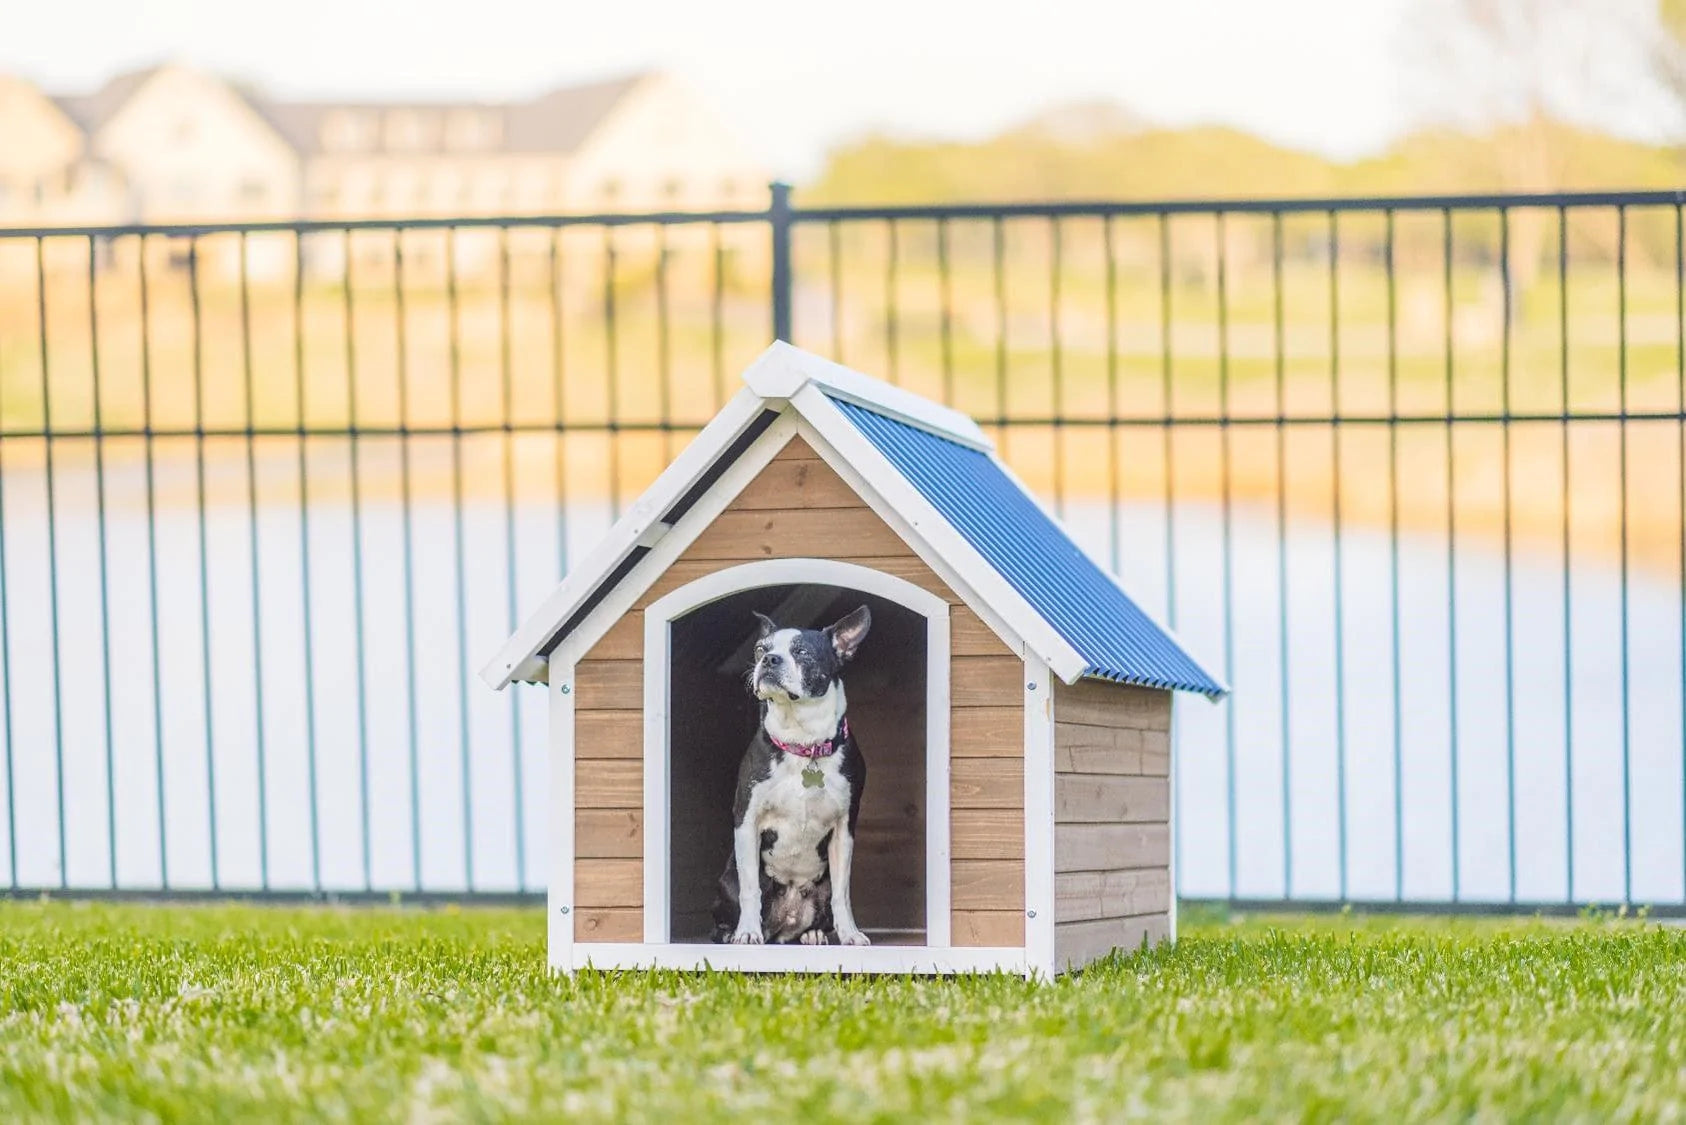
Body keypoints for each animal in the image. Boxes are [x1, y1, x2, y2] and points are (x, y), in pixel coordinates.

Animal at [708, 607, 869, 951]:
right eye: (760, 649)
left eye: (803, 652)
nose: (770, 660)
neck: (803, 742)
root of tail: (783, 926)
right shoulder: (747, 820)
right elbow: (750, 889)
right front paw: (747, 932)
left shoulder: (844, 829)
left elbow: (842, 893)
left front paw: (850, 934)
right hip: (729, 880)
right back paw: (732, 932)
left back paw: (814, 933)